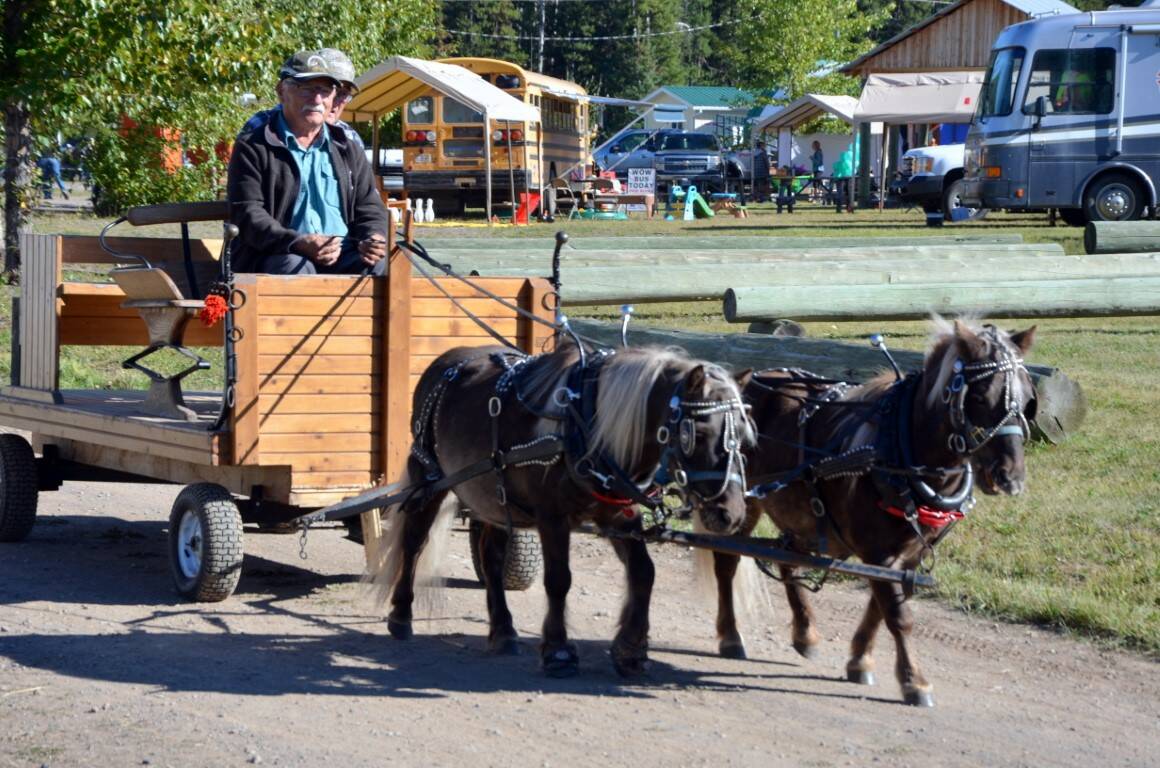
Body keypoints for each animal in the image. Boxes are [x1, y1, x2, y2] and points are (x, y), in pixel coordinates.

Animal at [366, 345, 756, 677]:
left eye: (746, 437)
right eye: (696, 434)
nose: (731, 514)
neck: (589, 424)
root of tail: (449, 359)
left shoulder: (619, 515)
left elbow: (644, 572)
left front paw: (631, 649)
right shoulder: (551, 517)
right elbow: (558, 579)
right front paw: (558, 651)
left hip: (493, 495)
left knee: (491, 557)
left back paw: (503, 631)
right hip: (429, 479)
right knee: (414, 543)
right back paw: (401, 615)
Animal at [709, 320, 1039, 709]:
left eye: (1028, 401)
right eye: (978, 397)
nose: (1010, 477)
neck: (900, 448)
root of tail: (745, 384)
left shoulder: (908, 555)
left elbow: (880, 608)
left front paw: (860, 660)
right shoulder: (879, 552)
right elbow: (897, 615)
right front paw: (915, 681)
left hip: (800, 516)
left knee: (788, 560)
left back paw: (806, 633)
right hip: (739, 503)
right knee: (727, 562)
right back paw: (731, 636)